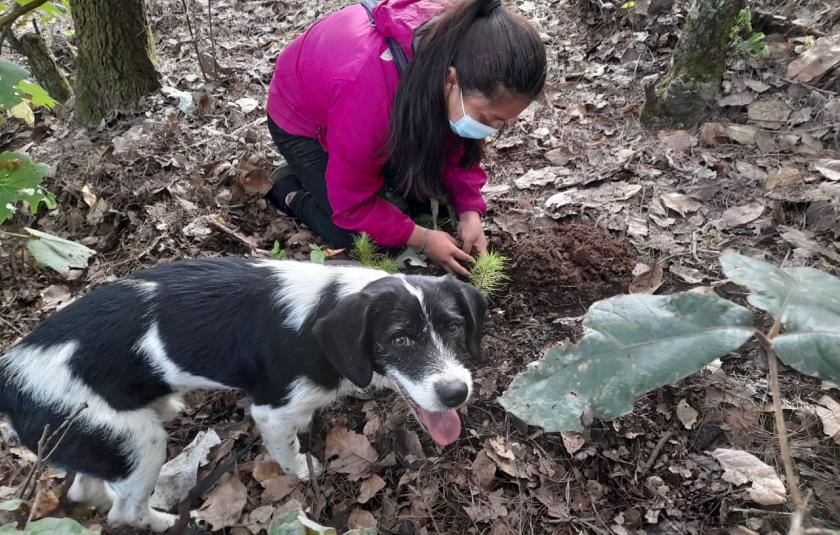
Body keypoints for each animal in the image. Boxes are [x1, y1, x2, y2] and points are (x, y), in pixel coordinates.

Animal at [1, 258, 486, 532]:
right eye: (399, 340)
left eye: (454, 327)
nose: (456, 393)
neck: (329, 304)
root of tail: (10, 377)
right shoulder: (272, 410)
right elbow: (288, 450)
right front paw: (301, 474)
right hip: (138, 442)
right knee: (125, 512)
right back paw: (172, 522)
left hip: (98, 436)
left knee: (87, 490)